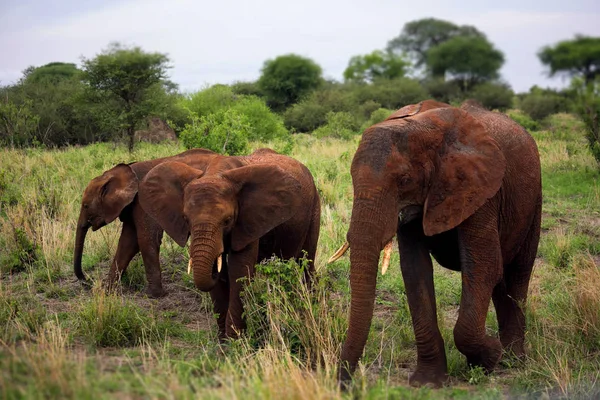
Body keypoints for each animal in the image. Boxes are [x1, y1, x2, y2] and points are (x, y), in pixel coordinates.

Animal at [74, 148, 221, 296]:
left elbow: (146, 239)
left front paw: (154, 295)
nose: (87, 280)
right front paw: (107, 292)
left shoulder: (143, 201)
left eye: (85, 206)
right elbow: (128, 242)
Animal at [138, 148, 322, 340]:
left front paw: (236, 340)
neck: (215, 173)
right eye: (186, 219)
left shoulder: (248, 220)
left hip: (315, 206)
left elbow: (239, 270)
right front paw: (223, 340)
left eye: (227, 221)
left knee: (305, 261)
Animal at [332, 99, 544, 388]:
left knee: (518, 273)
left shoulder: (480, 188)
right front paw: (428, 382)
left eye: (404, 180)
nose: (343, 383)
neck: (422, 126)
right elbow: (415, 270)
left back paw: (513, 360)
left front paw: (488, 359)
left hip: (534, 198)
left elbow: (483, 266)